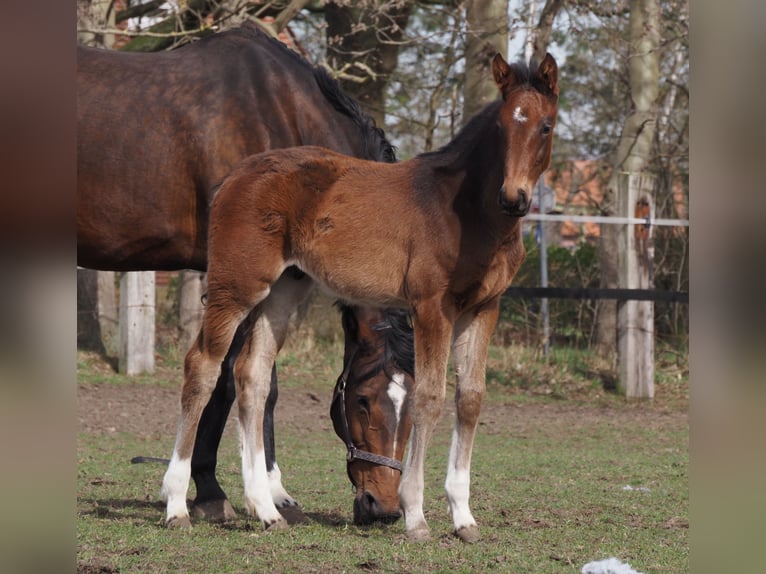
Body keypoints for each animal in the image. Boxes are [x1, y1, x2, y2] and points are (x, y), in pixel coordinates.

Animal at [77, 22, 412, 528]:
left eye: (412, 412)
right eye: (362, 400)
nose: (384, 509)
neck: (279, 110)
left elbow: (259, 381)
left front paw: (270, 492)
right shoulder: (231, 279)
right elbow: (230, 382)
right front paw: (212, 492)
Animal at [162, 53, 560, 544]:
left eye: (546, 126)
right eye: (504, 126)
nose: (515, 198)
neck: (467, 212)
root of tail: (233, 176)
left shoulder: (485, 308)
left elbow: (470, 398)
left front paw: (464, 518)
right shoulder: (432, 306)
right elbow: (431, 395)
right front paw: (416, 516)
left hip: (283, 290)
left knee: (251, 376)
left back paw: (266, 510)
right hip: (236, 285)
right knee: (202, 365)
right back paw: (176, 504)